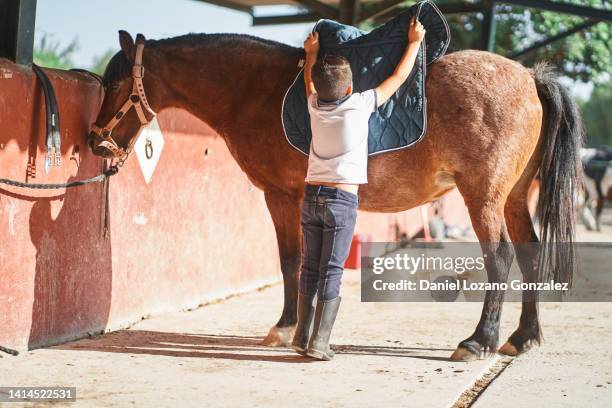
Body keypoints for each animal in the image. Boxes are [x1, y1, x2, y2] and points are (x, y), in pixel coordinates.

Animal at [87, 30, 584, 360]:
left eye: (113, 84)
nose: (95, 142)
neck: (255, 91)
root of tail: (530, 77)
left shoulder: (281, 196)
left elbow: (290, 260)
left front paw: (285, 328)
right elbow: (305, 263)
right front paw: (299, 328)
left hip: (484, 198)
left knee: (499, 256)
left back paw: (479, 341)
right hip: (514, 198)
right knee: (530, 254)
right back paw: (522, 338)